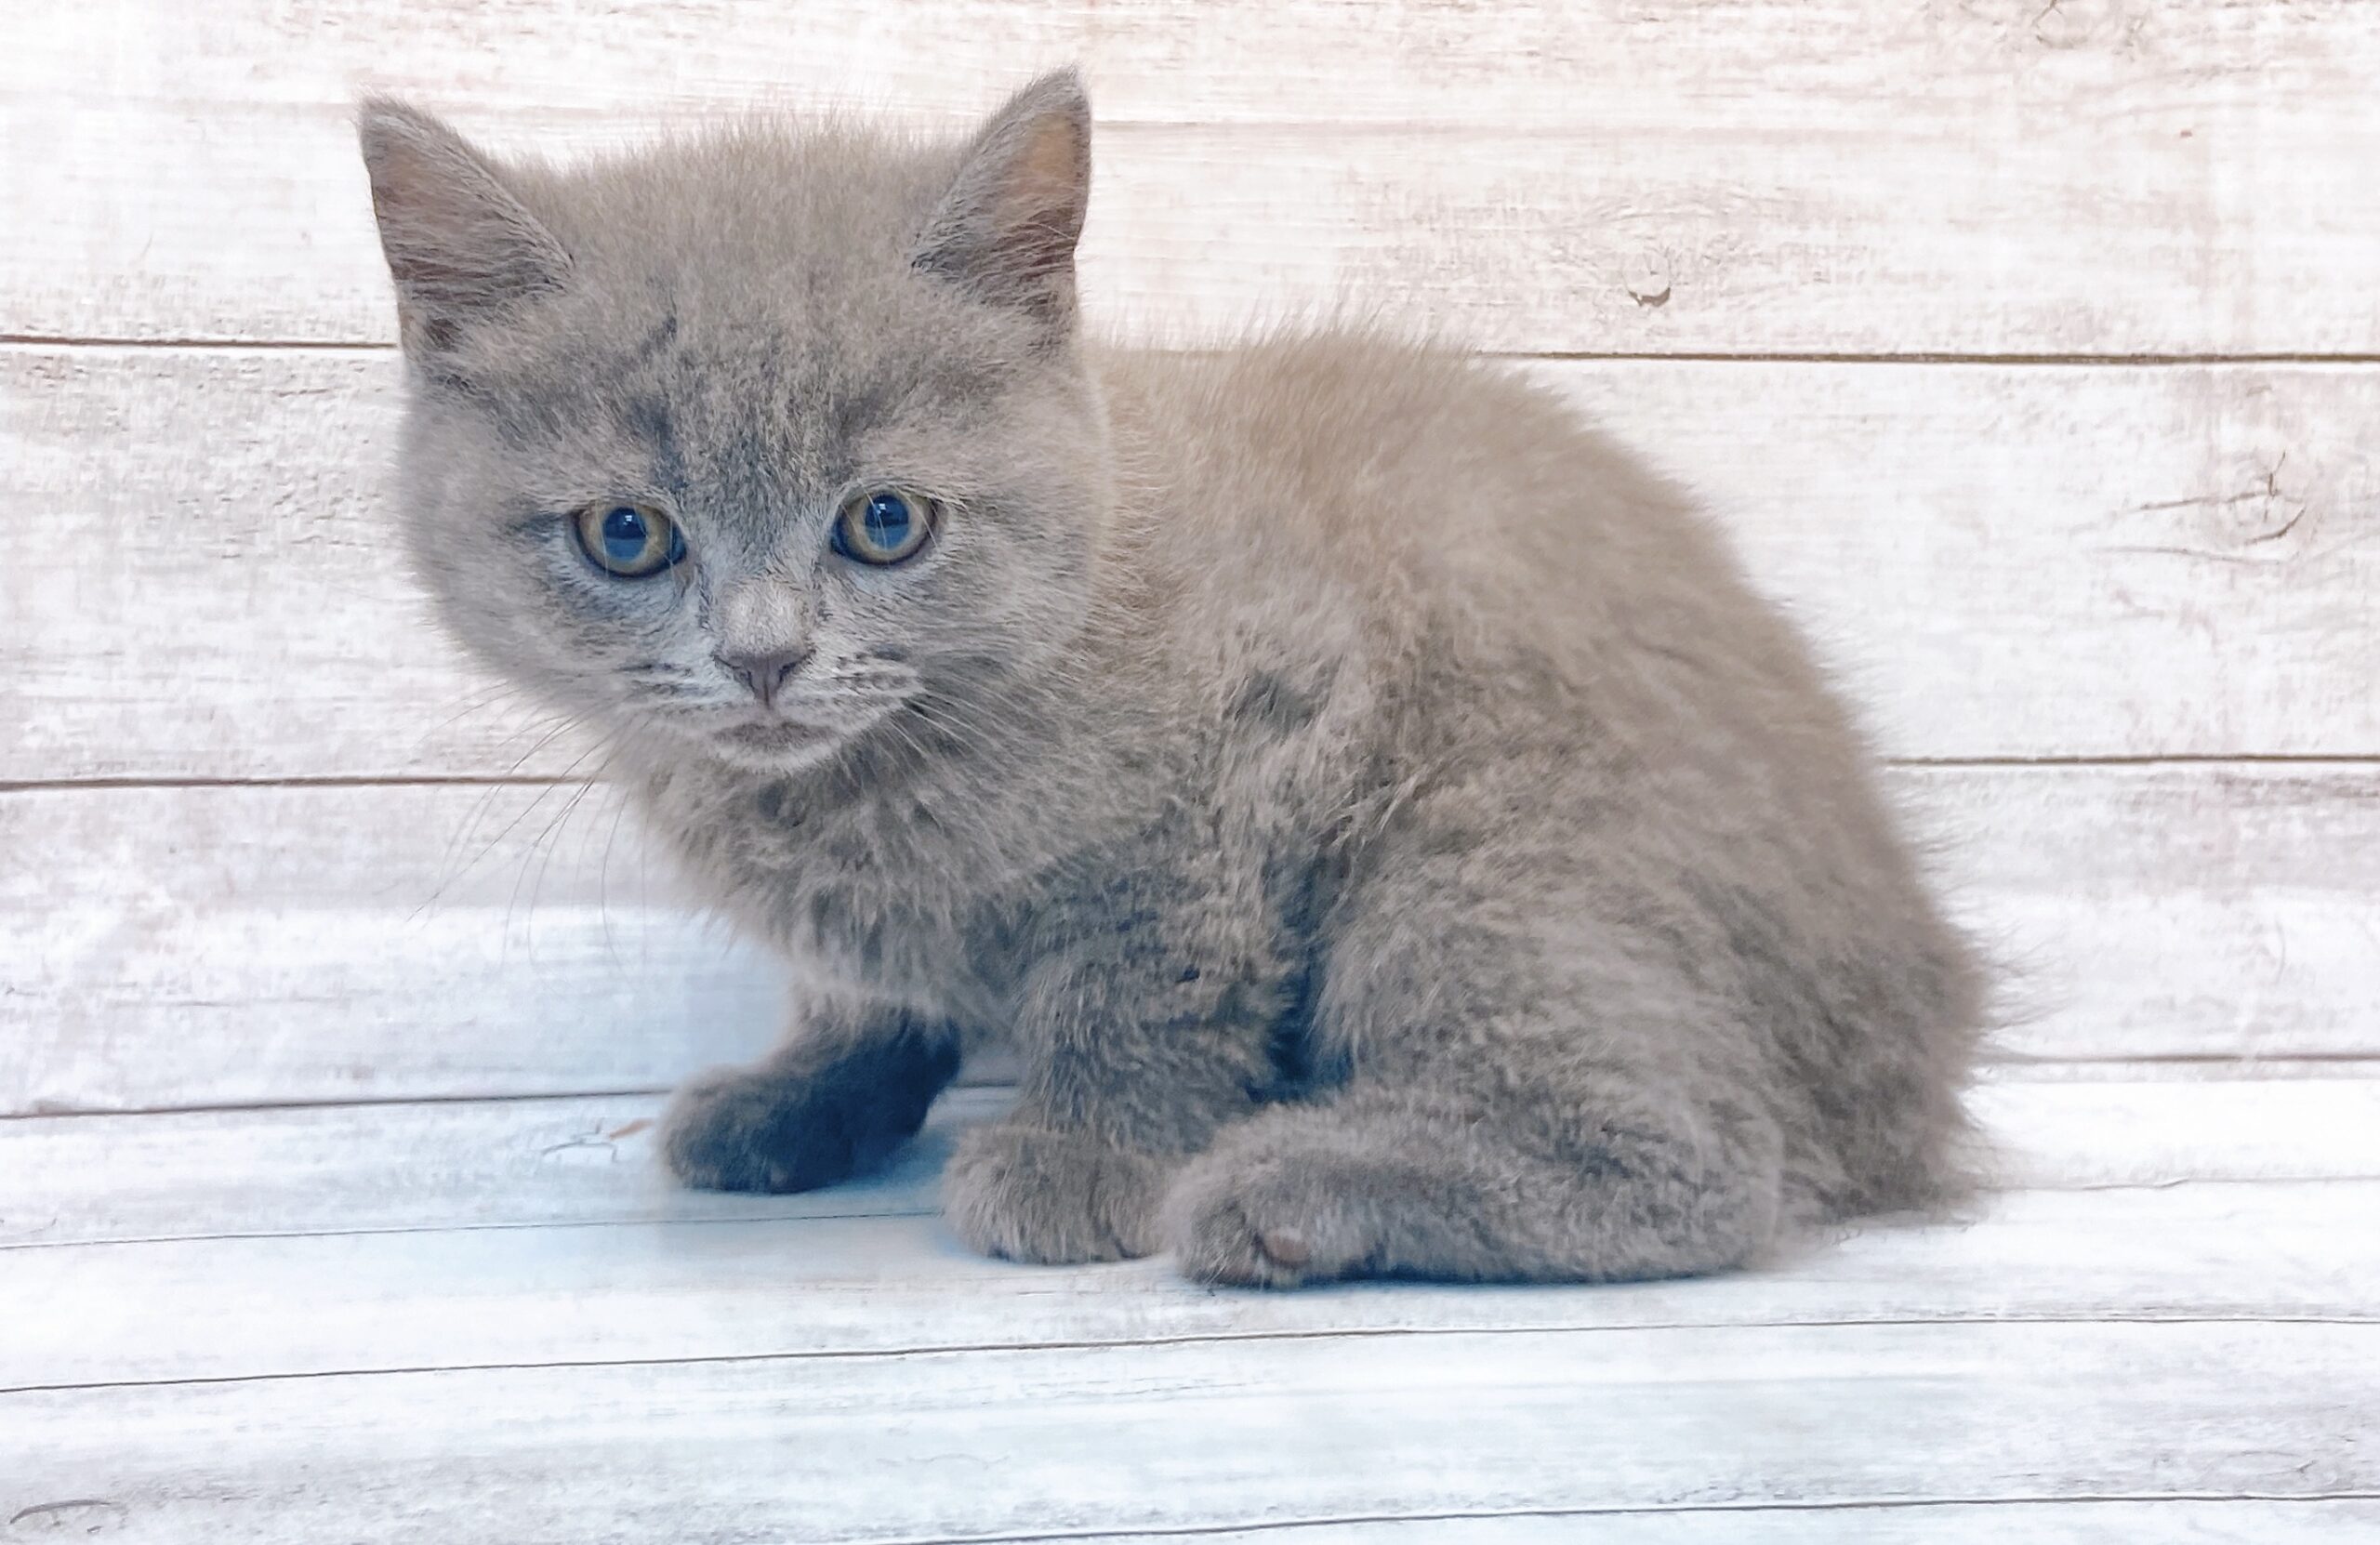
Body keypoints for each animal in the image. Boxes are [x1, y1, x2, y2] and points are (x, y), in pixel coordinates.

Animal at [357, 72, 1990, 1285]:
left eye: (884, 523)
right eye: (628, 534)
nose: (764, 656)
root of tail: (1918, 1044)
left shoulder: (1246, 755)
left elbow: (1145, 985)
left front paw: (1087, 1161)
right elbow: (865, 990)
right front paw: (802, 1095)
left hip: (1484, 861)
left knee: (1703, 1162)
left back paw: (1290, 1188)